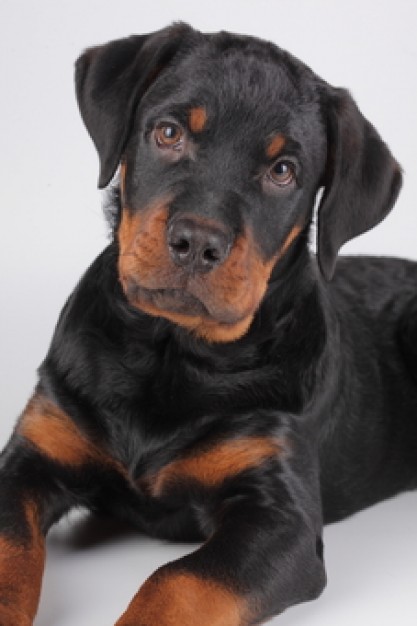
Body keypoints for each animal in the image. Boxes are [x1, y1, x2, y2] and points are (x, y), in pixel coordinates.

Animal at [0, 22, 416, 624]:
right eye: (168, 132)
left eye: (283, 171)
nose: (197, 242)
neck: (168, 351)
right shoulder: (35, 451)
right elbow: (11, 549)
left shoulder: (278, 515)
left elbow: (178, 582)